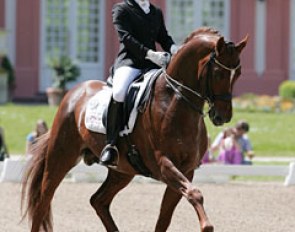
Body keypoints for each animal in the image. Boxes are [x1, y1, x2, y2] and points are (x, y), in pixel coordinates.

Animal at [22, 28, 247, 231]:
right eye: (218, 73)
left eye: (239, 74)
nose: (223, 116)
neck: (174, 101)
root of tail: (73, 93)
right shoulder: (164, 164)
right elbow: (195, 194)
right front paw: (206, 225)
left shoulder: (186, 170)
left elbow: (165, 217)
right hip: (61, 156)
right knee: (43, 200)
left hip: (122, 170)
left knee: (98, 201)